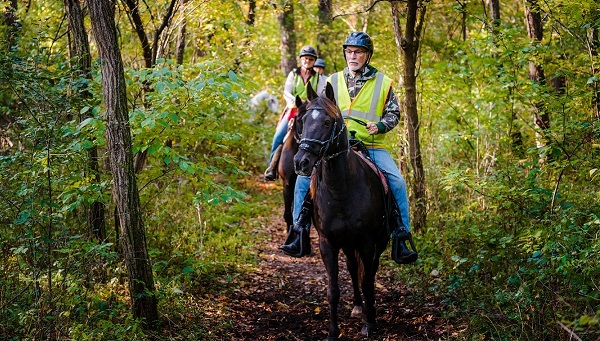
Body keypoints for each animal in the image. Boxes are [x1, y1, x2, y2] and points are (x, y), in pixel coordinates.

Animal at [292, 83, 392, 340]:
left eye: (327, 122)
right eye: (302, 120)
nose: (301, 162)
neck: (341, 190)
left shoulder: (367, 242)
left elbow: (368, 281)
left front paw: (370, 323)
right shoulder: (327, 243)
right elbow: (333, 290)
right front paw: (333, 331)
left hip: (378, 242)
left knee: (369, 272)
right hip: (347, 243)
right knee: (353, 268)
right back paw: (357, 306)